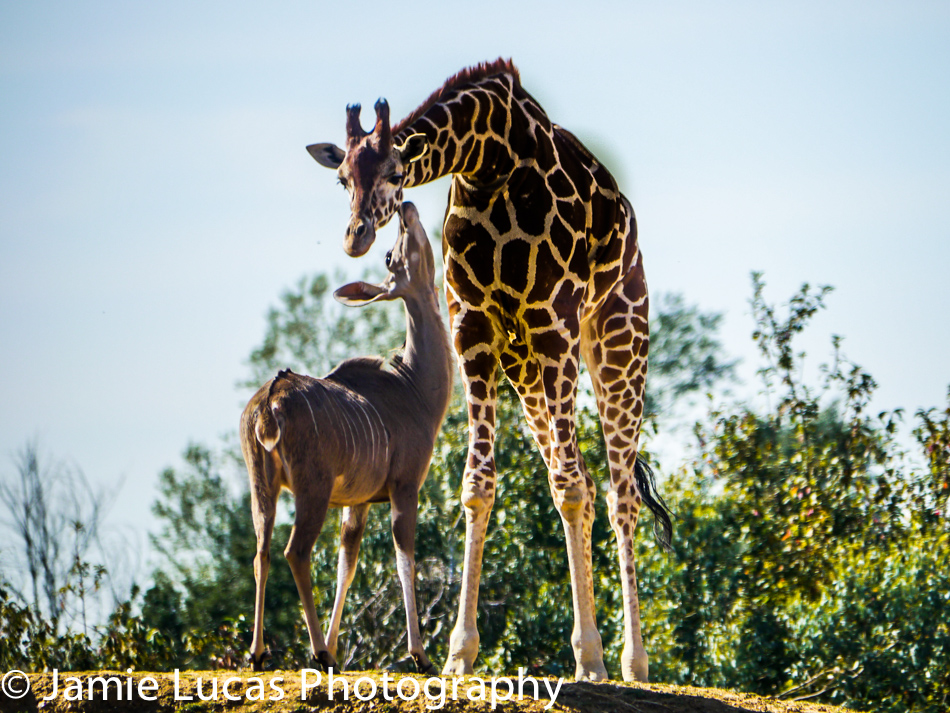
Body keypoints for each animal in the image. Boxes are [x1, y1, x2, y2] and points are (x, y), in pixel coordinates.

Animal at [307, 59, 672, 683]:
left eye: (397, 169)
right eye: (342, 178)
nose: (357, 236)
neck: (489, 163)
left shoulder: (553, 321)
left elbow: (568, 489)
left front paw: (589, 657)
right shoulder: (473, 328)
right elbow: (479, 484)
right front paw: (459, 652)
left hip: (617, 338)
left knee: (618, 492)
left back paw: (631, 661)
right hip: (526, 369)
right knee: (590, 480)